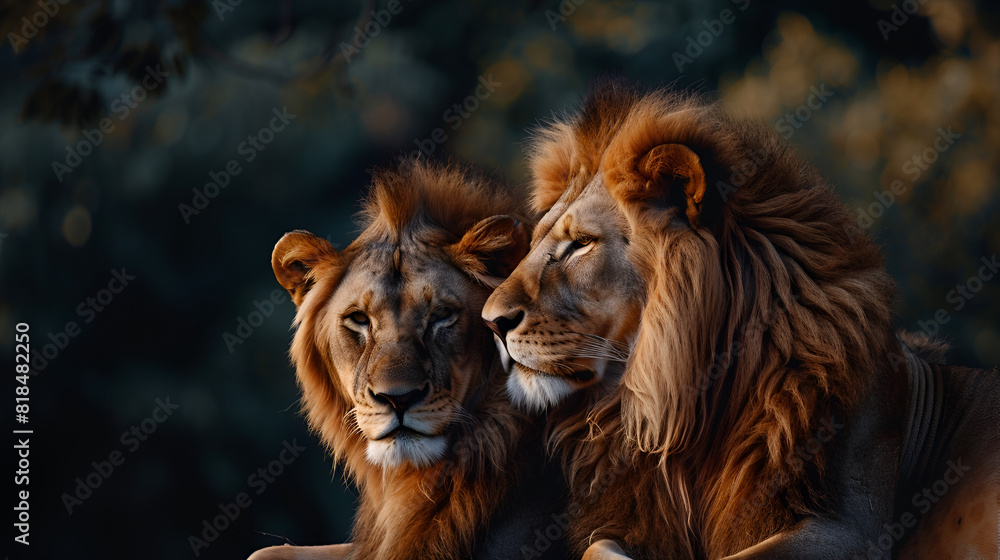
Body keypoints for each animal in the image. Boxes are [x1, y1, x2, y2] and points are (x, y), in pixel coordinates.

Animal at [482, 80, 1000, 560]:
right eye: (536, 241)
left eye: (581, 244)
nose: (491, 322)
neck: (685, 407)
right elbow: (598, 544)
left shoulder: (853, 528)